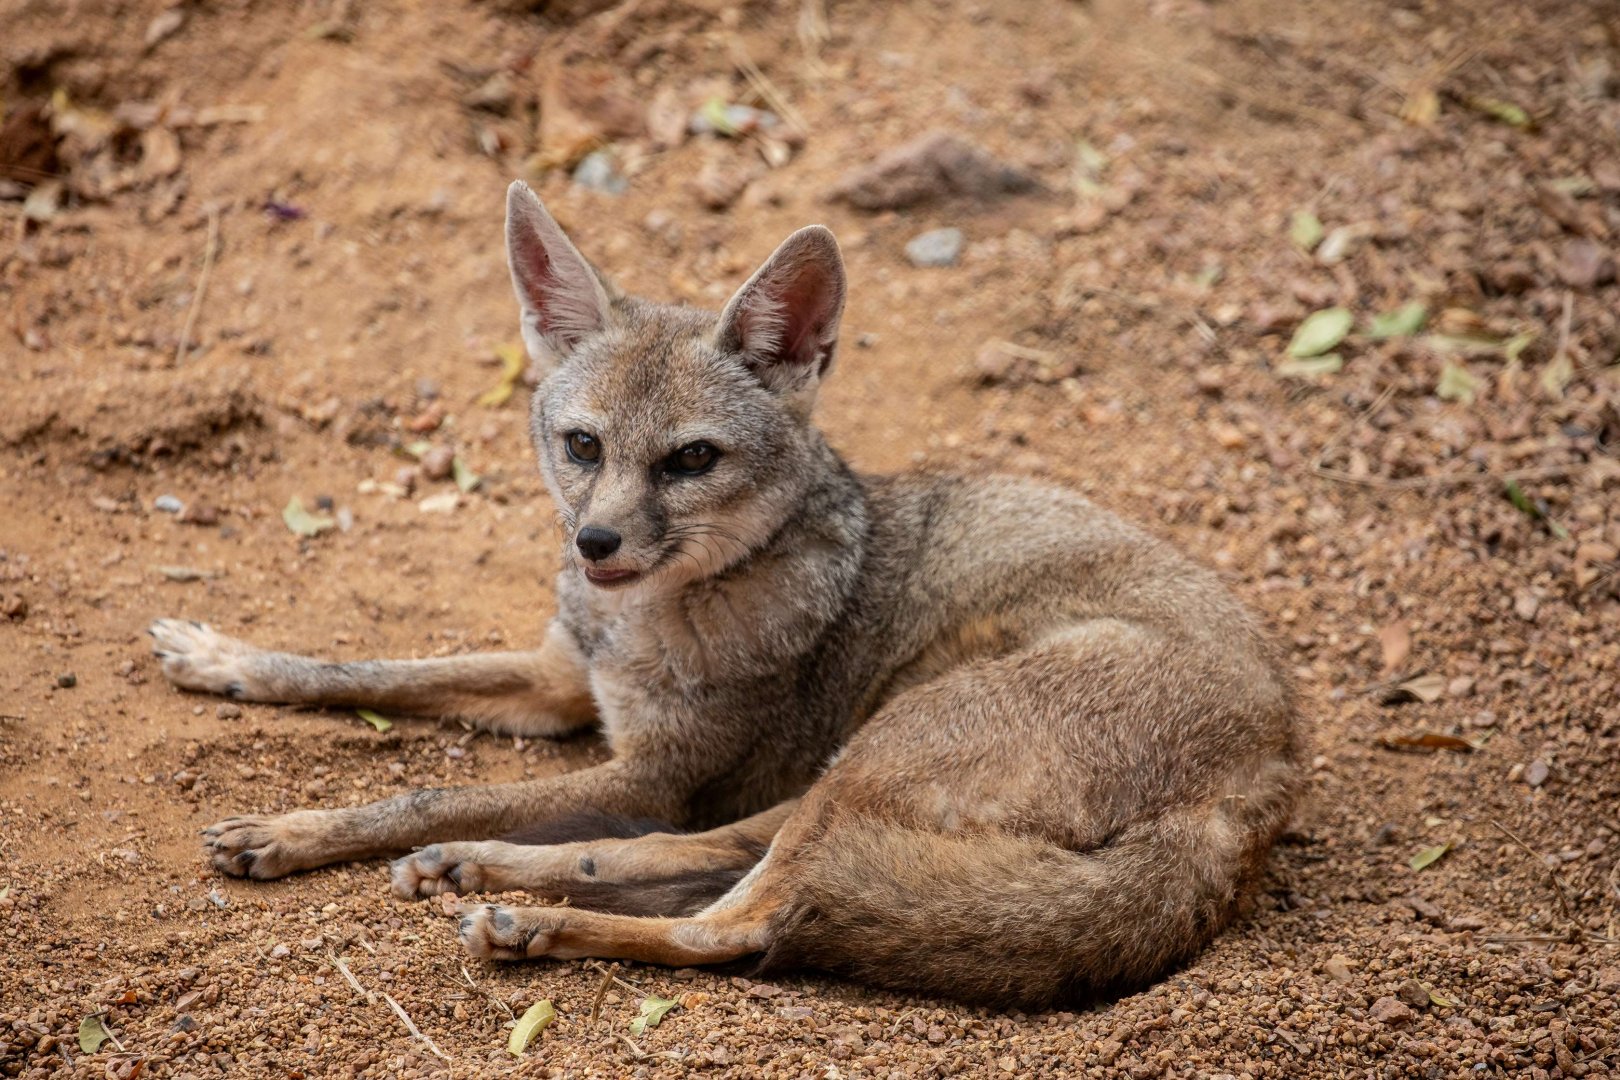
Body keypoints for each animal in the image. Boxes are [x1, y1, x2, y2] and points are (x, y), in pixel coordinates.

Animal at [148, 180, 1305, 1009]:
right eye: (582, 446)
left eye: (692, 460)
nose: (595, 543)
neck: (643, 623)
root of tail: (1269, 778)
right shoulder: (559, 685)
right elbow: (366, 671)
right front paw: (227, 660)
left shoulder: (650, 771)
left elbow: (429, 790)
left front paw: (290, 832)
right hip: (848, 773)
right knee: (699, 864)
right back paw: (484, 871)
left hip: (881, 752)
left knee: (736, 920)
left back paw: (531, 919)